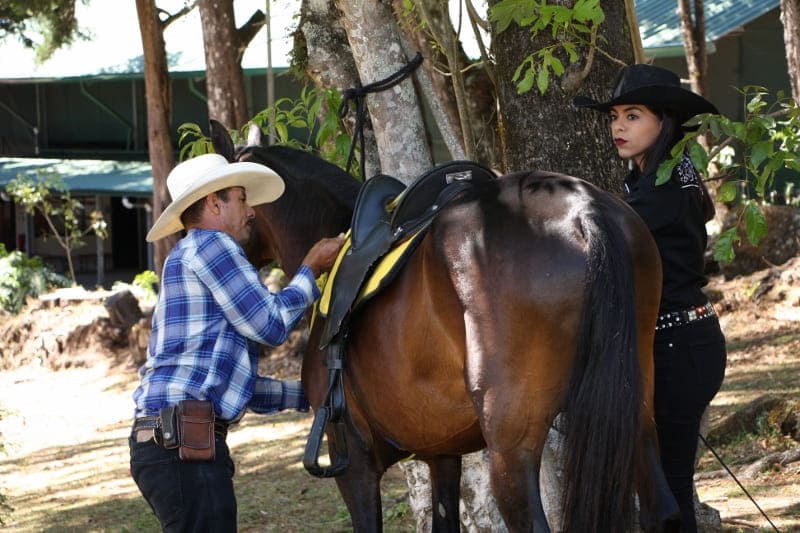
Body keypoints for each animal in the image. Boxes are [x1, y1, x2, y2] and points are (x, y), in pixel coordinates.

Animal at [211, 122, 676, 528]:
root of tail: (582, 211)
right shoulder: (442, 456)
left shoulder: (353, 464)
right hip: (633, 411)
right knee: (664, 510)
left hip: (511, 449)